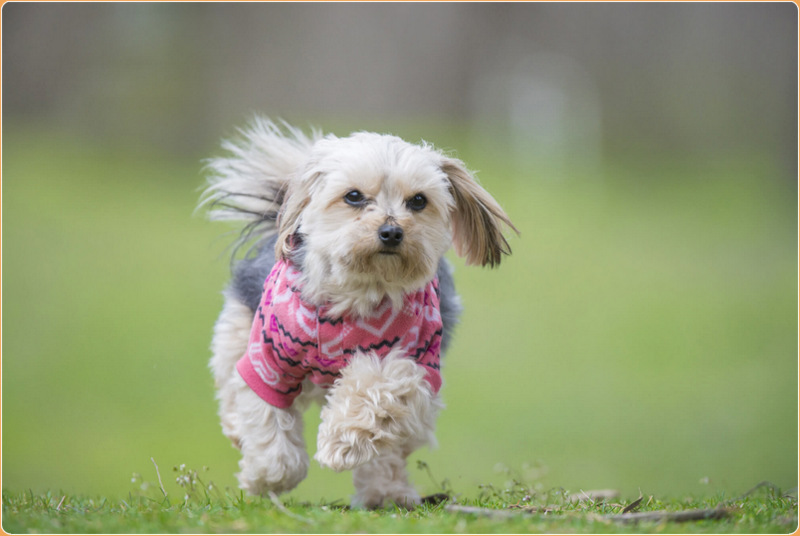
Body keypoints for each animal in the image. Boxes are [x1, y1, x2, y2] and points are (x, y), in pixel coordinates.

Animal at [202, 117, 520, 506]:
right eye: (353, 196)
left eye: (419, 200)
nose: (391, 231)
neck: (357, 295)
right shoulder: (268, 358)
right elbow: (265, 416)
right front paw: (268, 476)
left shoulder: (415, 360)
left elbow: (378, 385)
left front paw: (340, 442)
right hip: (238, 327)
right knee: (231, 384)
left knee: (392, 448)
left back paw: (386, 492)